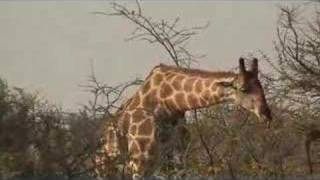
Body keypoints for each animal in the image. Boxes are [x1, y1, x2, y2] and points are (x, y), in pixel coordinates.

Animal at [99, 57, 272, 177]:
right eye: (243, 89)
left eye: (261, 86)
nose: (266, 114)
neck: (168, 102)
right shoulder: (140, 161)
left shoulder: (179, 156)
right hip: (108, 168)